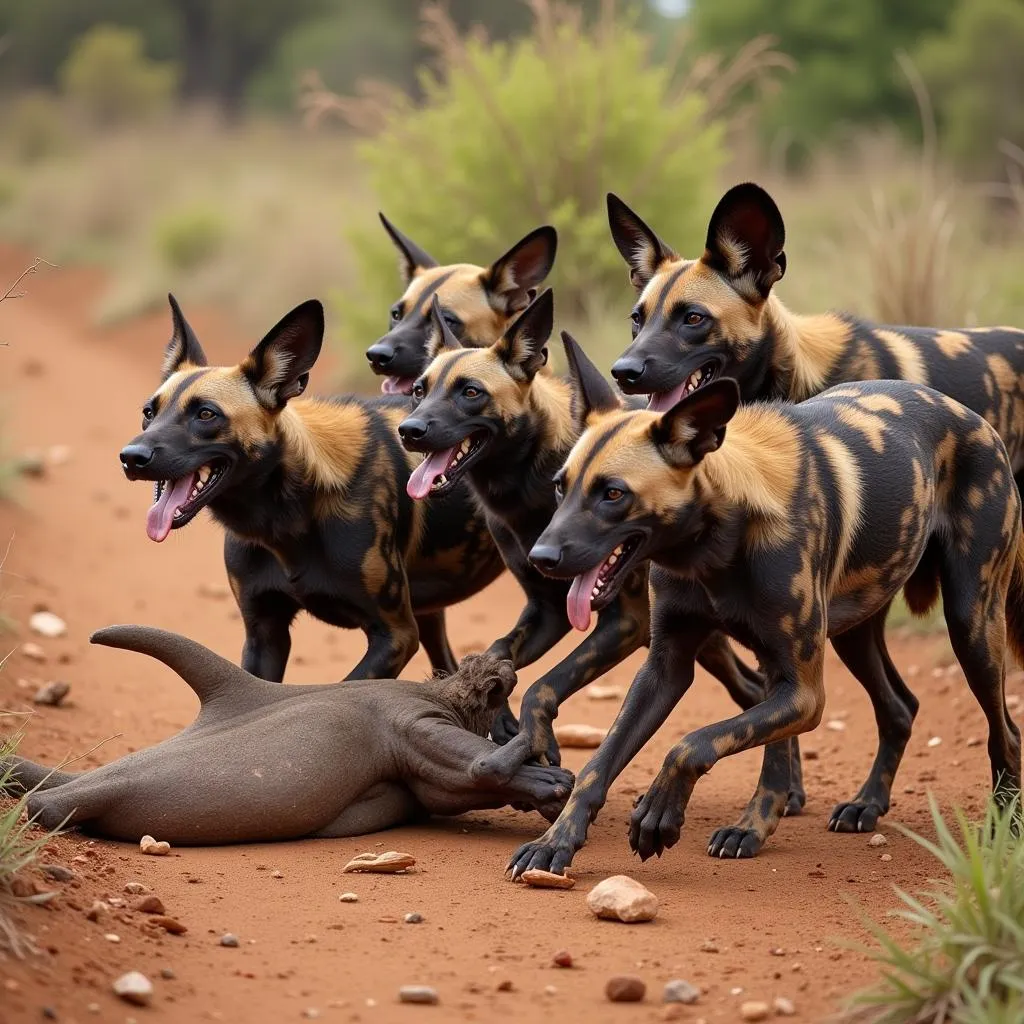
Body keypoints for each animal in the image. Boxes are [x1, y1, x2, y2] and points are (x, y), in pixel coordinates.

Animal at [118, 296, 503, 679]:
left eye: (206, 414)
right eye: (149, 413)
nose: (131, 457)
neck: (283, 520)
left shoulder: (395, 635)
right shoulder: (264, 635)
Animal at [395, 288, 794, 790]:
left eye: (471, 393)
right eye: (419, 391)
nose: (409, 431)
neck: (526, 485)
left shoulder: (624, 622)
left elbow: (544, 685)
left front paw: (532, 737)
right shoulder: (549, 611)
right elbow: (498, 651)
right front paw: (498, 710)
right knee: (755, 692)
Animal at [507, 368, 1019, 872]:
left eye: (613, 494)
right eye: (561, 486)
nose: (540, 558)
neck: (716, 545)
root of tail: (972, 416)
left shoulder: (802, 692)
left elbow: (692, 744)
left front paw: (662, 814)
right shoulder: (667, 670)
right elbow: (599, 766)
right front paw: (556, 842)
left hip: (971, 627)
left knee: (1006, 731)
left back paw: (1005, 824)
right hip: (854, 634)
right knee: (899, 707)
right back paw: (867, 803)